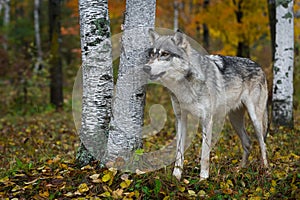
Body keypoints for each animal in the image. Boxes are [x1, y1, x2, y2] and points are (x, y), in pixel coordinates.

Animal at [144, 29, 270, 181]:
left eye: (164, 54)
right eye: (152, 54)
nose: (145, 67)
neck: (185, 85)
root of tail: (259, 66)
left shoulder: (206, 120)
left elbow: (204, 154)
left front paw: (203, 180)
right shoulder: (181, 119)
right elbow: (179, 152)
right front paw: (176, 177)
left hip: (255, 119)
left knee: (262, 144)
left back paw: (266, 171)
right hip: (235, 120)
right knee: (248, 142)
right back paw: (239, 170)